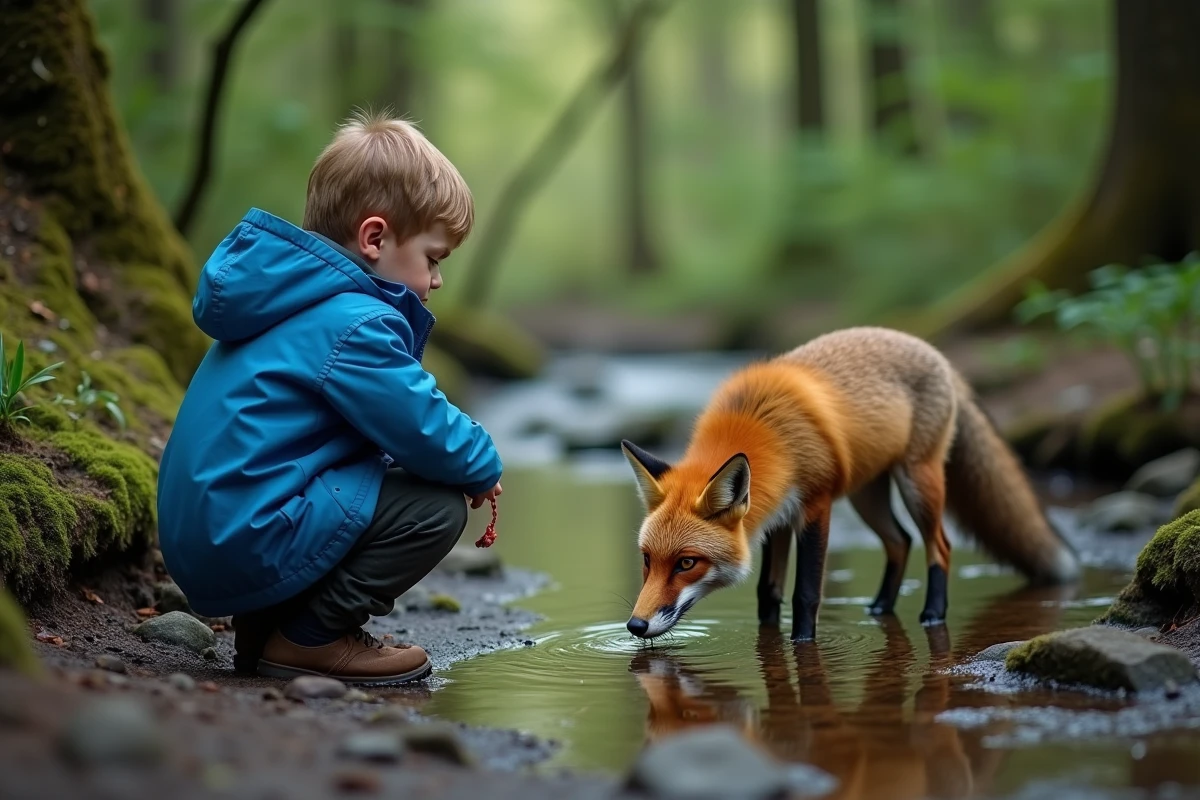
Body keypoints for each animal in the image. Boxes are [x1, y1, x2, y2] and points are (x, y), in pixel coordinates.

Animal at [620, 326, 1080, 642]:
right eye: (646, 559)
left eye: (686, 563)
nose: (636, 625)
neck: (764, 428)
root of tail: (937, 354)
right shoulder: (776, 518)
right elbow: (768, 593)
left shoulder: (815, 504)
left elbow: (805, 593)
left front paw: (802, 642)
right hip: (866, 496)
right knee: (900, 541)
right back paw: (879, 607)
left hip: (918, 482)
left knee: (940, 545)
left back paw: (933, 612)